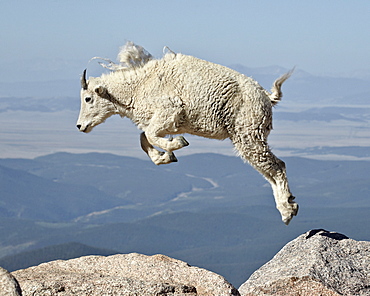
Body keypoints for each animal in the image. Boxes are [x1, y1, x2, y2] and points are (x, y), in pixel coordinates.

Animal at [76, 40, 300, 223]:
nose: (80, 126)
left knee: (277, 166)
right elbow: (143, 138)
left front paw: (176, 144)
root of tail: (267, 97)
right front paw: (165, 156)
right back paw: (287, 204)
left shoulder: (169, 110)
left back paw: (287, 211)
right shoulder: (165, 122)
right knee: (268, 170)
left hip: (248, 132)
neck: (137, 87)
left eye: (88, 98)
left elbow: (149, 135)